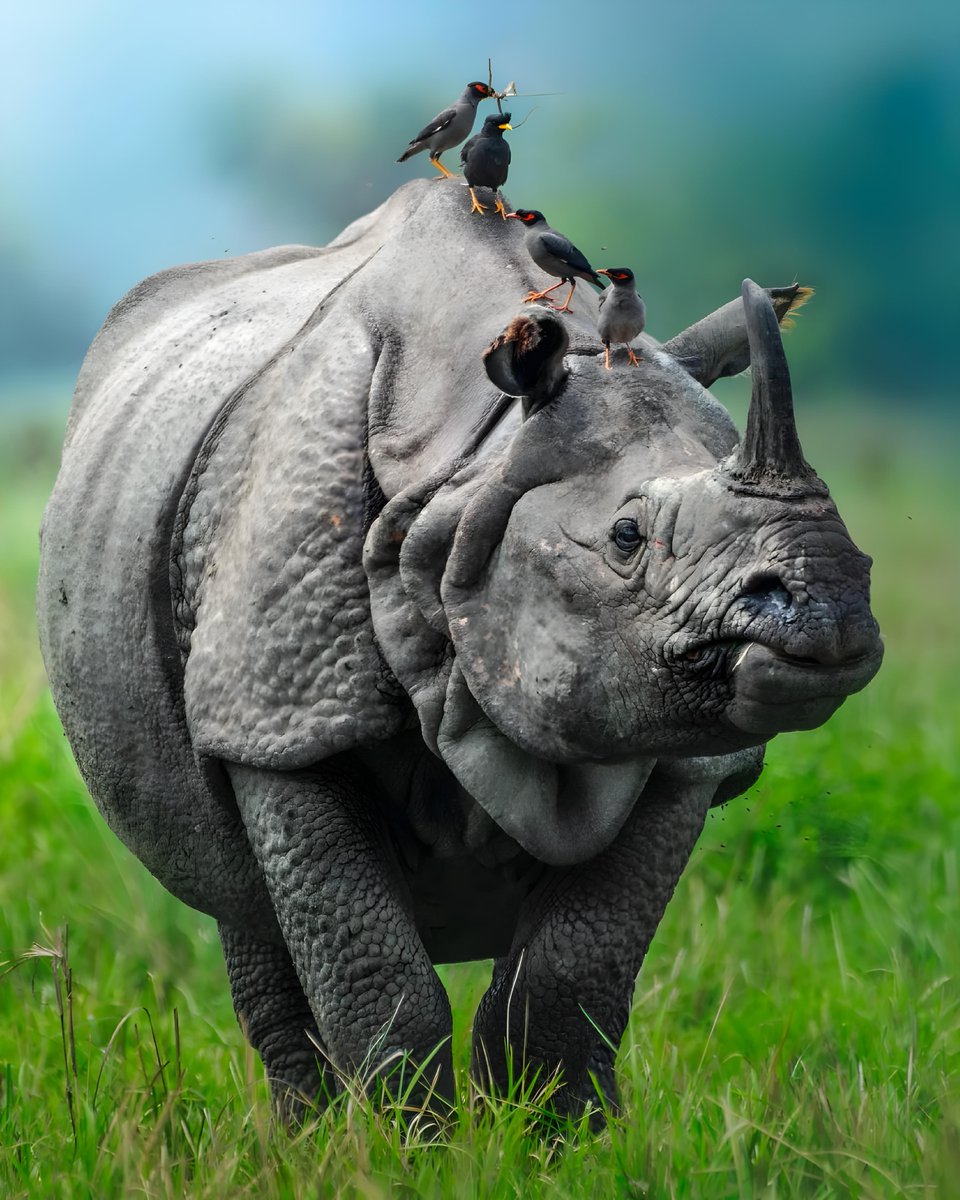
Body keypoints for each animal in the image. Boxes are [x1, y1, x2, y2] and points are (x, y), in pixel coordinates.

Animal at [36, 177, 882, 1120]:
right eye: (626, 537)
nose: (828, 604)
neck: (469, 468)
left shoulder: (678, 757)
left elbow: (563, 987)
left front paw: (557, 1137)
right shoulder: (282, 713)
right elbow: (375, 980)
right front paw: (402, 1139)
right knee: (246, 909)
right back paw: (309, 1135)